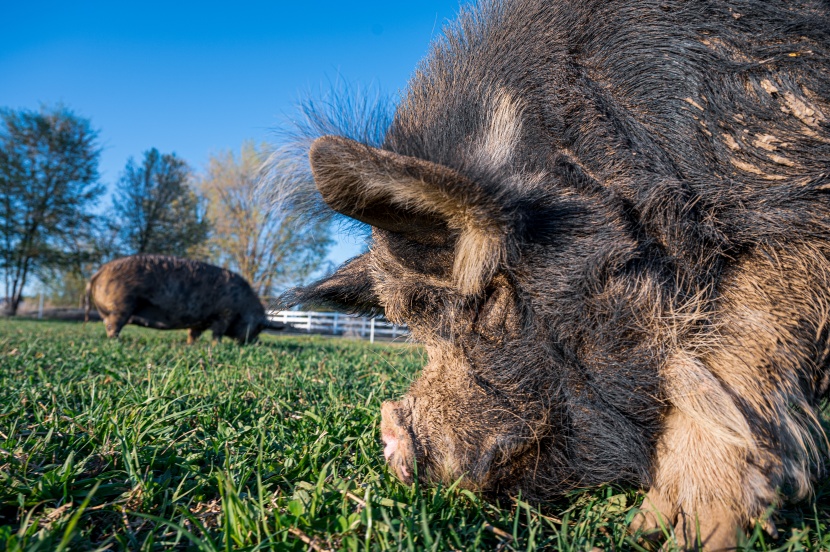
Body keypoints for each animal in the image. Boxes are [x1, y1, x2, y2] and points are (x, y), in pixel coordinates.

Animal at [86, 256, 272, 342]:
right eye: (259, 328)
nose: (257, 342)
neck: (244, 305)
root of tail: (99, 271)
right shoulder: (225, 313)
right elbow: (217, 334)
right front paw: (217, 345)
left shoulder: (200, 320)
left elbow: (193, 333)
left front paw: (190, 344)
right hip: (121, 304)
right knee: (112, 325)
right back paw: (117, 341)